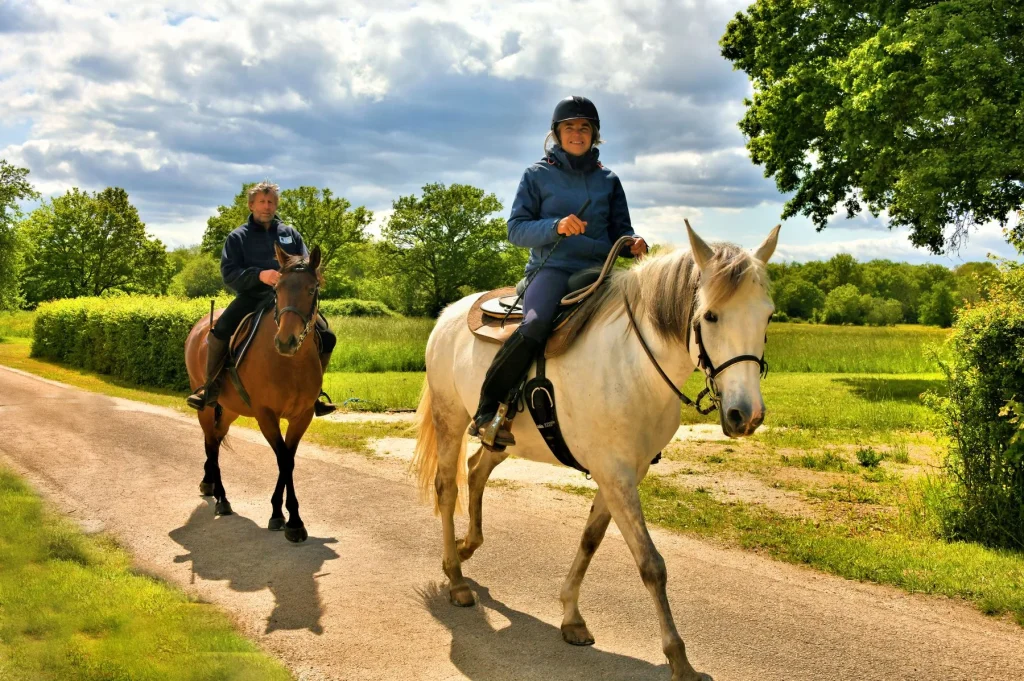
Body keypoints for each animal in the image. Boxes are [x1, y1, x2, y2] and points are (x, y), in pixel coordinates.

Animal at [184, 244, 323, 540]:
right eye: (277, 289)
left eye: (311, 289)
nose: (285, 341)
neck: (289, 363)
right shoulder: (266, 415)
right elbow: (284, 460)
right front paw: (293, 521)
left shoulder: (302, 416)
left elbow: (288, 460)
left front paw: (279, 514)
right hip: (208, 405)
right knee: (211, 442)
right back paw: (222, 499)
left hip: (230, 409)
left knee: (215, 439)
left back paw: (210, 484)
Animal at [411, 224, 778, 679]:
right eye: (710, 316)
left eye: (768, 315)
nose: (746, 414)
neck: (634, 365)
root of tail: (449, 314)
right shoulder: (614, 474)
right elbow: (651, 564)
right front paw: (679, 658)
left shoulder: (622, 474)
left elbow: (590, 540)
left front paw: (571, 617)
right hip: (450, 418)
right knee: (447, 488)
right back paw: (456, 578)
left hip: (504, 439)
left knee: (477, 469)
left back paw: (467, 546)